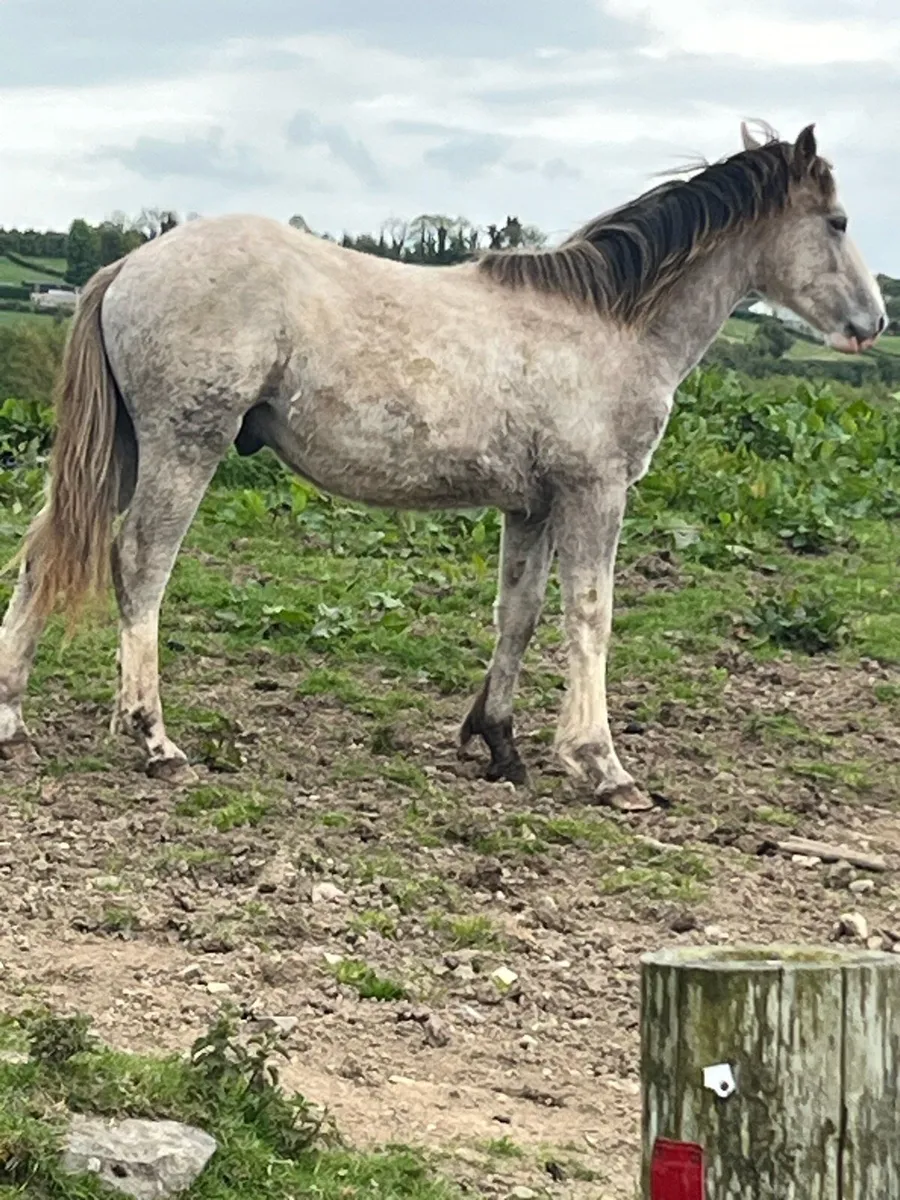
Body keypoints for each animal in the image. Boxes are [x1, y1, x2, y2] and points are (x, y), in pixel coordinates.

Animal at [0, 122, 886, 810]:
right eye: (838, 221)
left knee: (45, 555)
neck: (611, 324)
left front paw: (497, 743)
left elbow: (518, 614)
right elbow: (590, 617)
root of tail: (130, 265)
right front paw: (602, 765)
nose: (873, 323)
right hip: (185, 447)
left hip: (122, 453)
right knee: (140, 565)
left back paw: (12, 720)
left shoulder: (531, 506)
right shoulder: (594, 493)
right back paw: (155, 739)